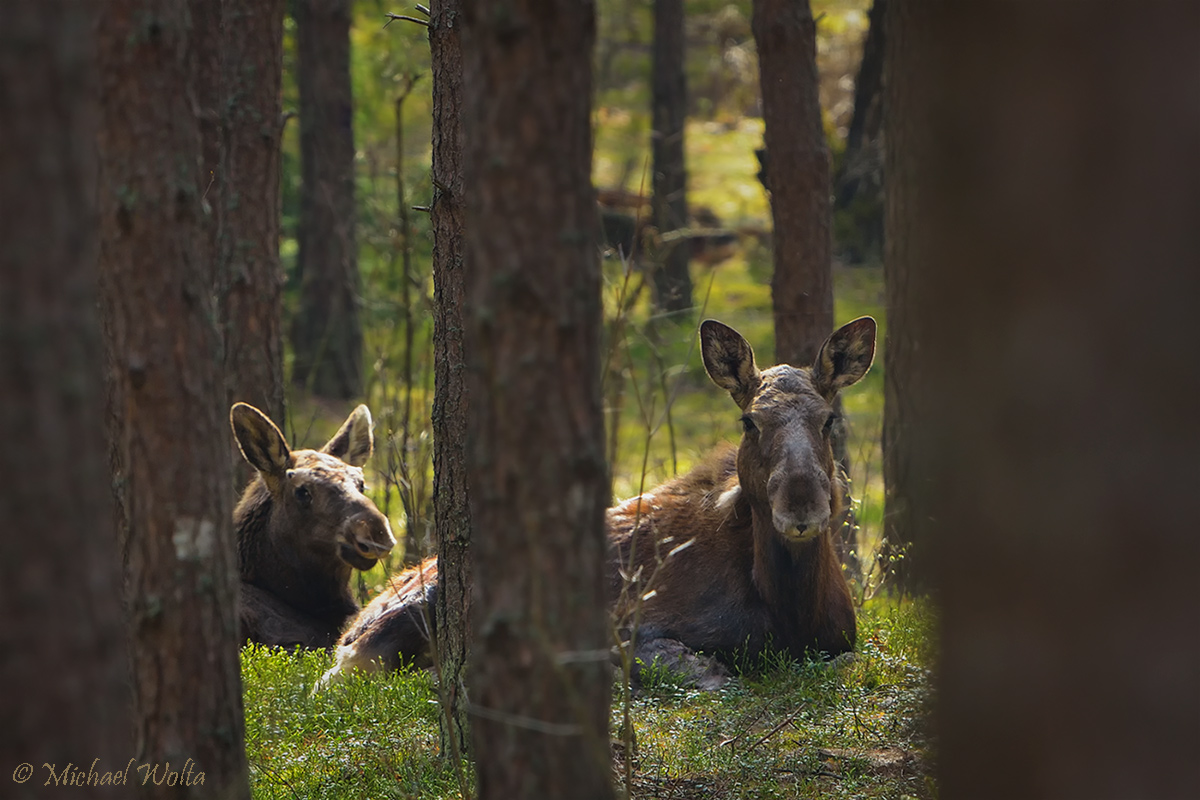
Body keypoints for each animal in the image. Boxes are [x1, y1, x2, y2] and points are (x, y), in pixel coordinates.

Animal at [319, 319, 878, 690]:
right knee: (342, 672)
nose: (802, 508)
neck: (790, 604)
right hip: (410, 611)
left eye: (829, 419)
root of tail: (357, 617)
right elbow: (698, 669)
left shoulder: (845, 640)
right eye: (749, 421)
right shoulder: (636, 624)